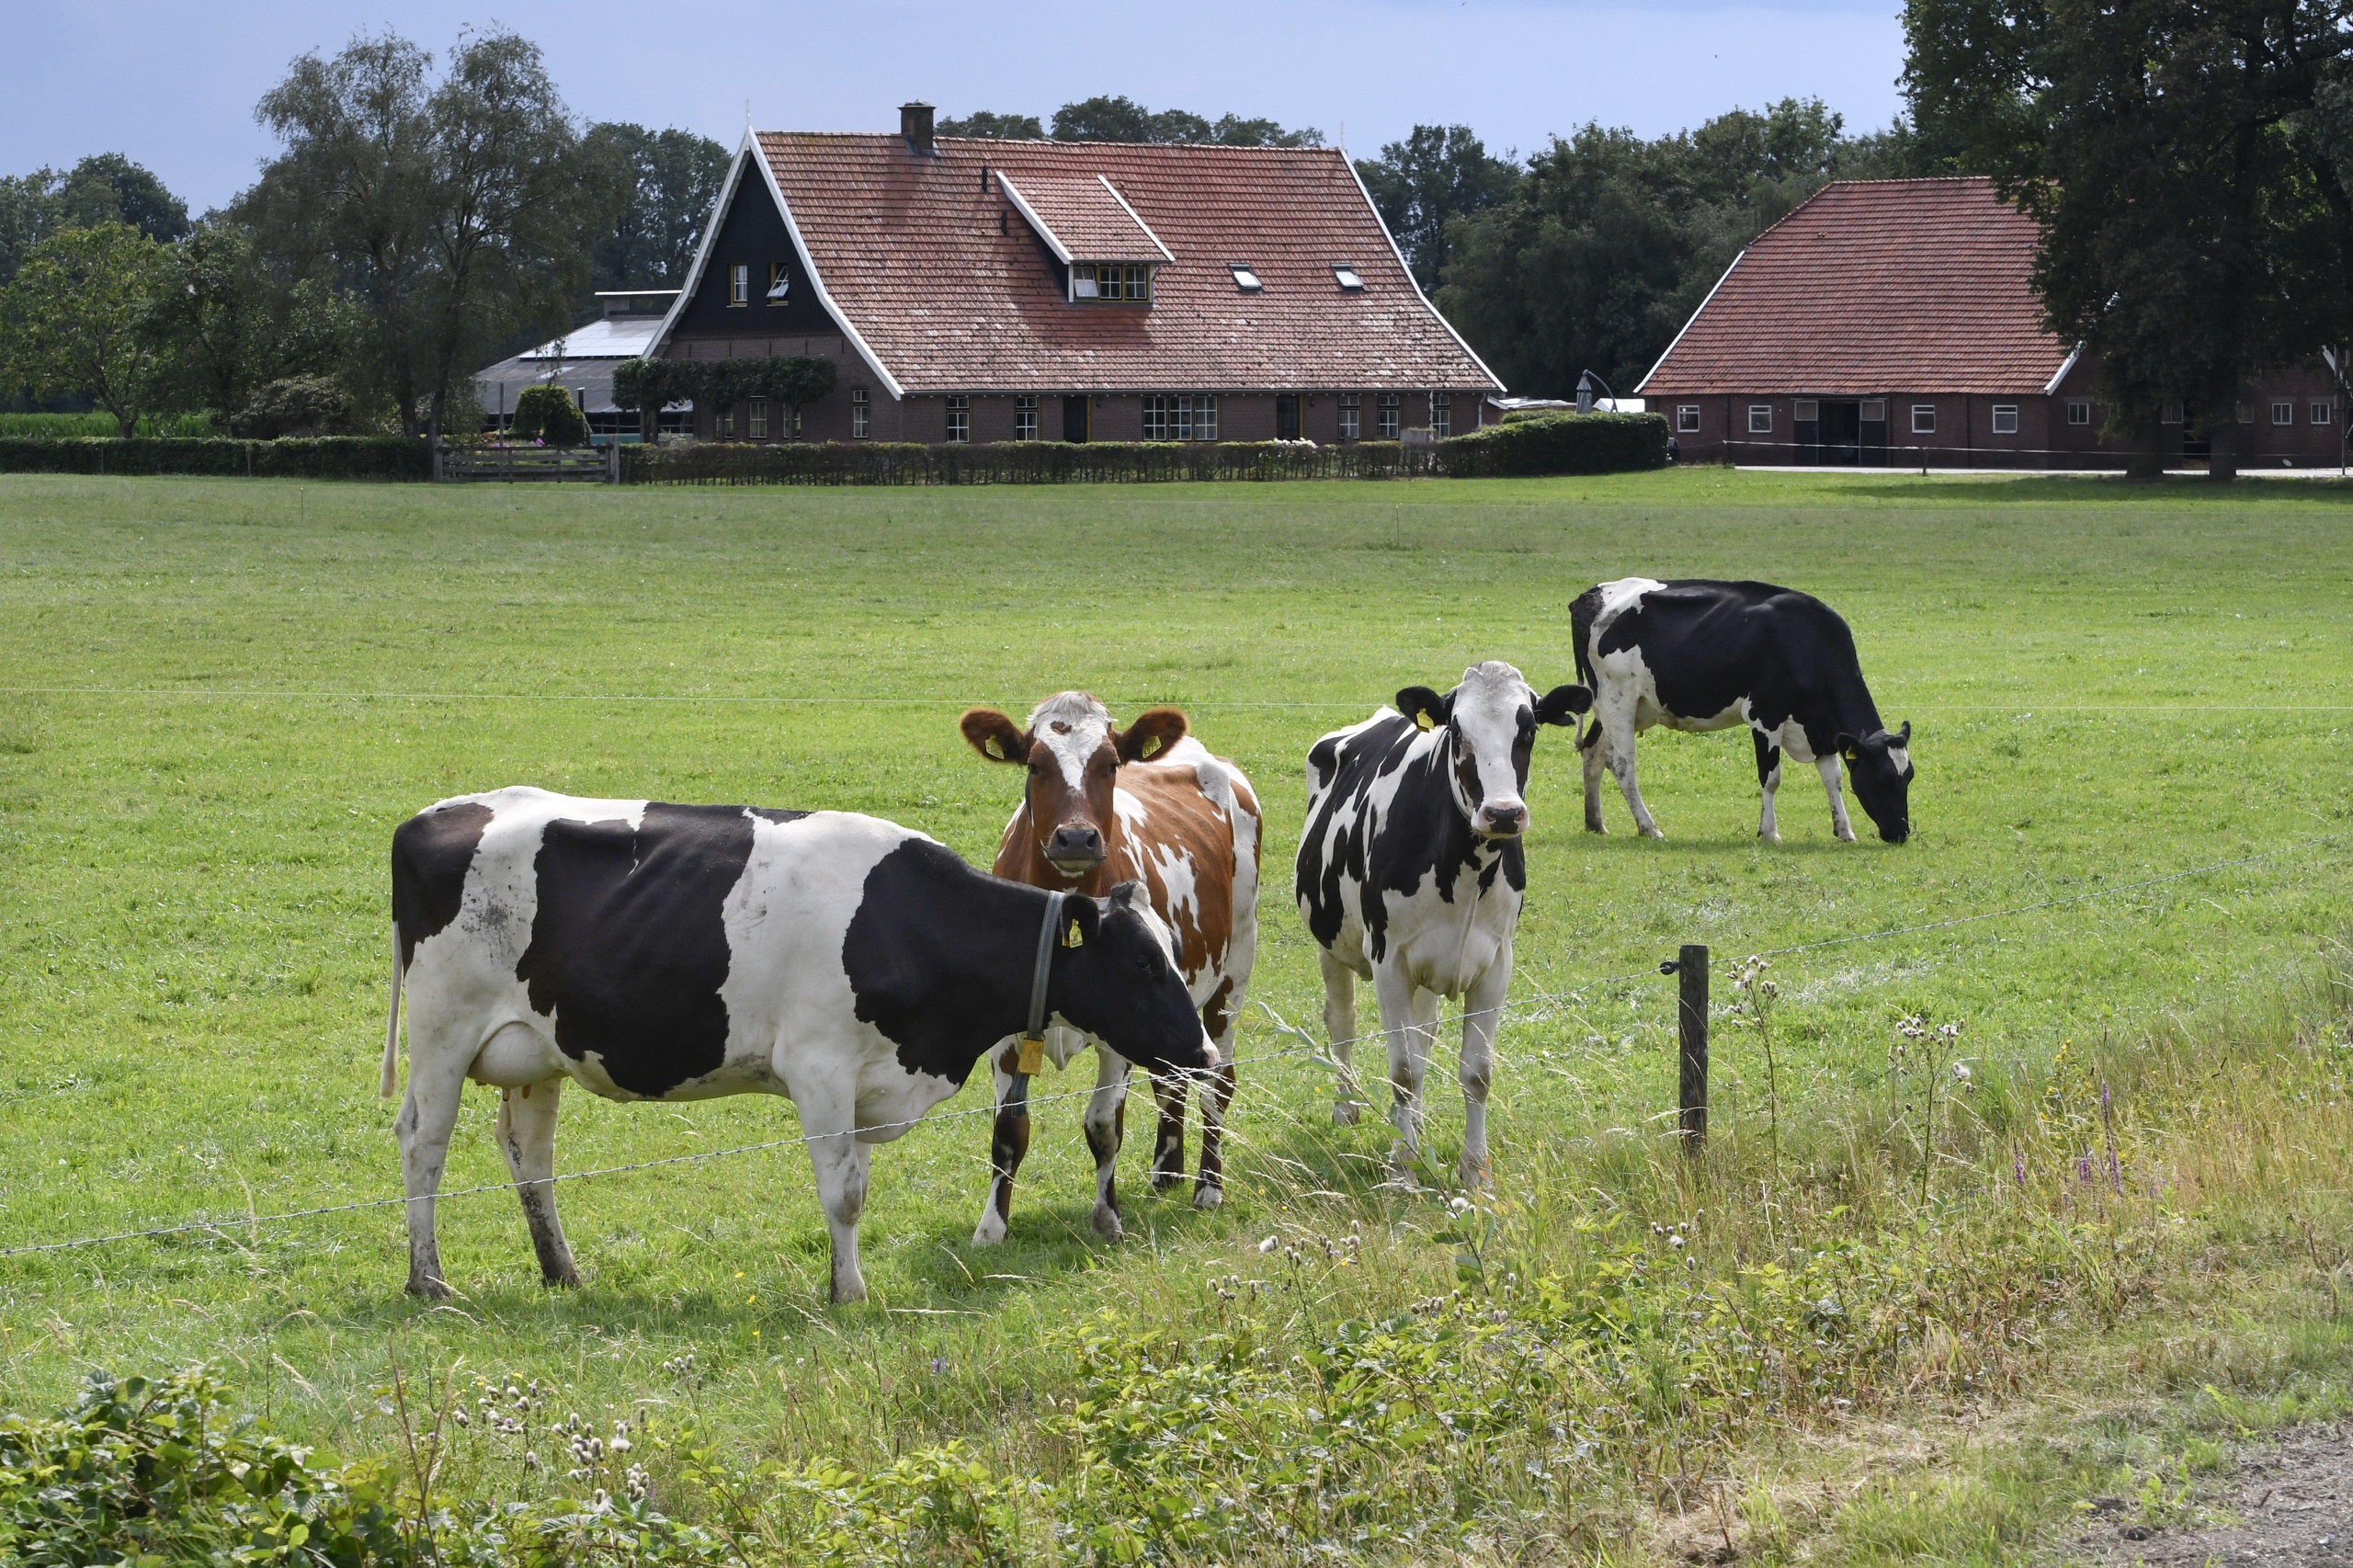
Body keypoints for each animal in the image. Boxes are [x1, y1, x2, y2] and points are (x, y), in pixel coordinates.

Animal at [381, 786, 1213, 1299]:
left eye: (1174, 954)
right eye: (1141, 963)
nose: (1205, 1052)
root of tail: (431, 817)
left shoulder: (871, 1081)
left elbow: (858, 1185)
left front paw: (846, 1279)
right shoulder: (818, 1068)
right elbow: (842, 1194)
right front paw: (849, 1291)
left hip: (538, 1048)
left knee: (530, 1153)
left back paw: (562, 1271)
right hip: (443, 1031)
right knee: (423, 1142)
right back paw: (427, 1277)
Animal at [955, 692, 1261, 1243]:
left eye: (1111, 765)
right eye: (1035, 765)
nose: (1077, 838)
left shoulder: (1120, 1029)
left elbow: (1102, 1126)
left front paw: (1107, 1216)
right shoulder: (1006, 1032)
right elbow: (1008, 1128)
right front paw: (992, 1227)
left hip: (1233, 974)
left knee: (1217, 1083)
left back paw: (1208, 1185)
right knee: (1170, 1079)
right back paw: (1167, 1170)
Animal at [1299, 659, 1590, 1187]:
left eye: (1530, 729)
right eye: (1456, 730)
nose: (1503, 813)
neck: (1466, 870)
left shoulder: (1496, 963)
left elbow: (1475, 1072)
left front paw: (1475, 1171)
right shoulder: (1389, 962)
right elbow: (1403, 1072)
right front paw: (1402, 1168)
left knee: (1424, 1033)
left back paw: (1413, 1122)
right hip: (1331, 940)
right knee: (1343, 1022)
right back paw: (1347, 1109)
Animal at [1562, 574, 1910, 843]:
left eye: (1908, 778)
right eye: (1883, 780)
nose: (1901, 833)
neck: (1805, 640)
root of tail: (1590, 595)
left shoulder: (1820, 729)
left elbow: (1833, 779)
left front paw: (1844, 831)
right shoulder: (1764, 716)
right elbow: (1771, 777)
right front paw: (1769, 832)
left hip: (1618, 707)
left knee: (1593, 754)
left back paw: (1596, 823)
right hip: (1617, 698)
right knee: (1622, 765)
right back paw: (1649, 828)